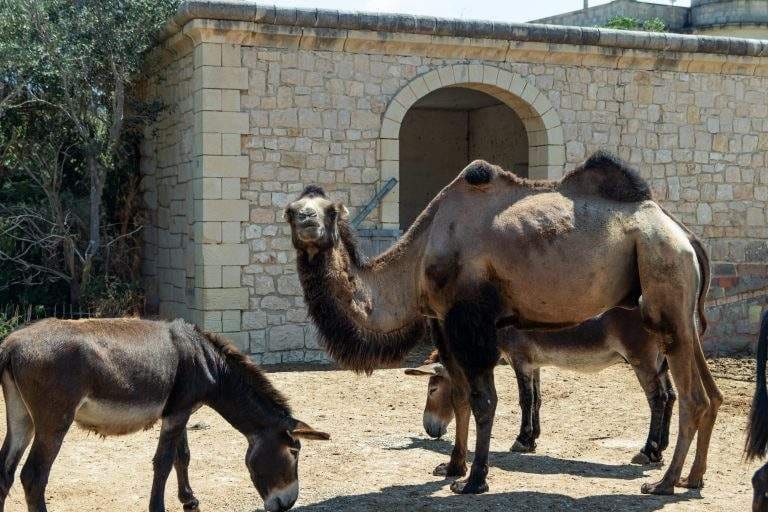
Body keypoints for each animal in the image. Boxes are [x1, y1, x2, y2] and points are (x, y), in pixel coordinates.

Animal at [0, 318, 329, 512]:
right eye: (295, 451)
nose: (288, 504)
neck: (209, 363)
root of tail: (11, 345)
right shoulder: (176, 414)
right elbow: (164, 462)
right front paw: (158, 507)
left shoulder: (180, 411)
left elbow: (182, 457)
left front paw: (189, 500)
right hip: (54, 421)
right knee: (33, 476)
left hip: (21, 417)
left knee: (6, 471)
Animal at [406, 307, 676, 465]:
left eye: (431, 389)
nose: (428, 428)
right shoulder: (533, 363)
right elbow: (537, 399)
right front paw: (533, 438)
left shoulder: (520, 360)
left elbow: (525, 400)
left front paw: (522, 439)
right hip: (660, 360)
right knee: (671, 395)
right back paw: (662, 446)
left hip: (642, 359)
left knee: (658, 399)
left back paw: (648, 451)